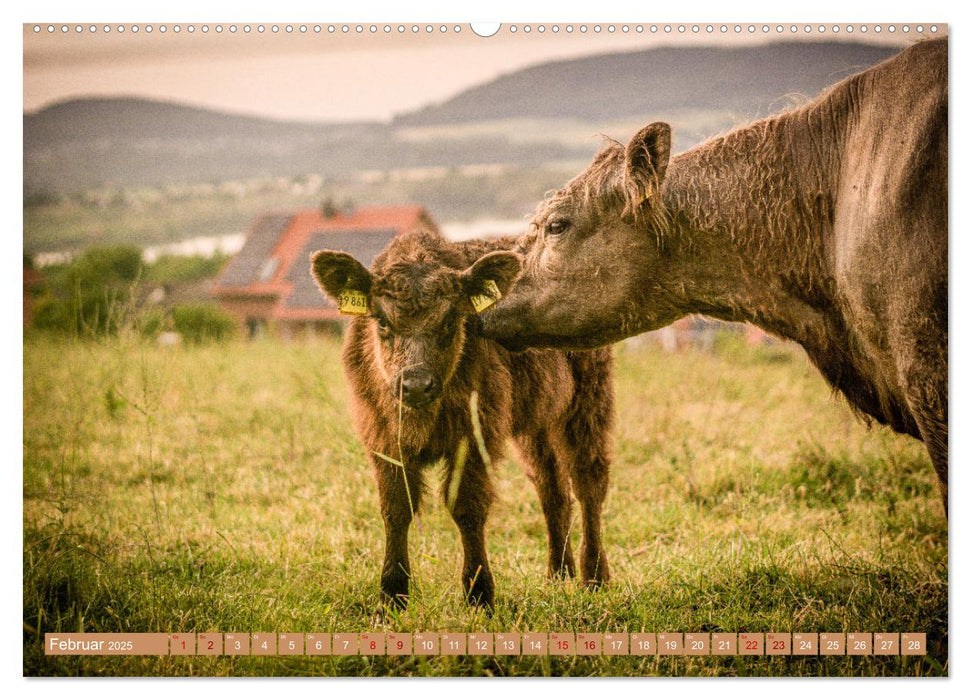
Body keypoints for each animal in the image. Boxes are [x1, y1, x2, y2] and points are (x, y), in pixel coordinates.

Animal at [312, 231, 616, 608]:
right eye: (381, 320)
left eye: (450, 320)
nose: (416, 384)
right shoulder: (383, 439)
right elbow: (396, 508)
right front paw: (392, 596)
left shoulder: (474, 436)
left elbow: (467, 508)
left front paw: (479, 594)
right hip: (537, 422)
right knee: (552, 489)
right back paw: (559, 574)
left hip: (588, 403)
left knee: (589, 484)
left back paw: (595, 577)